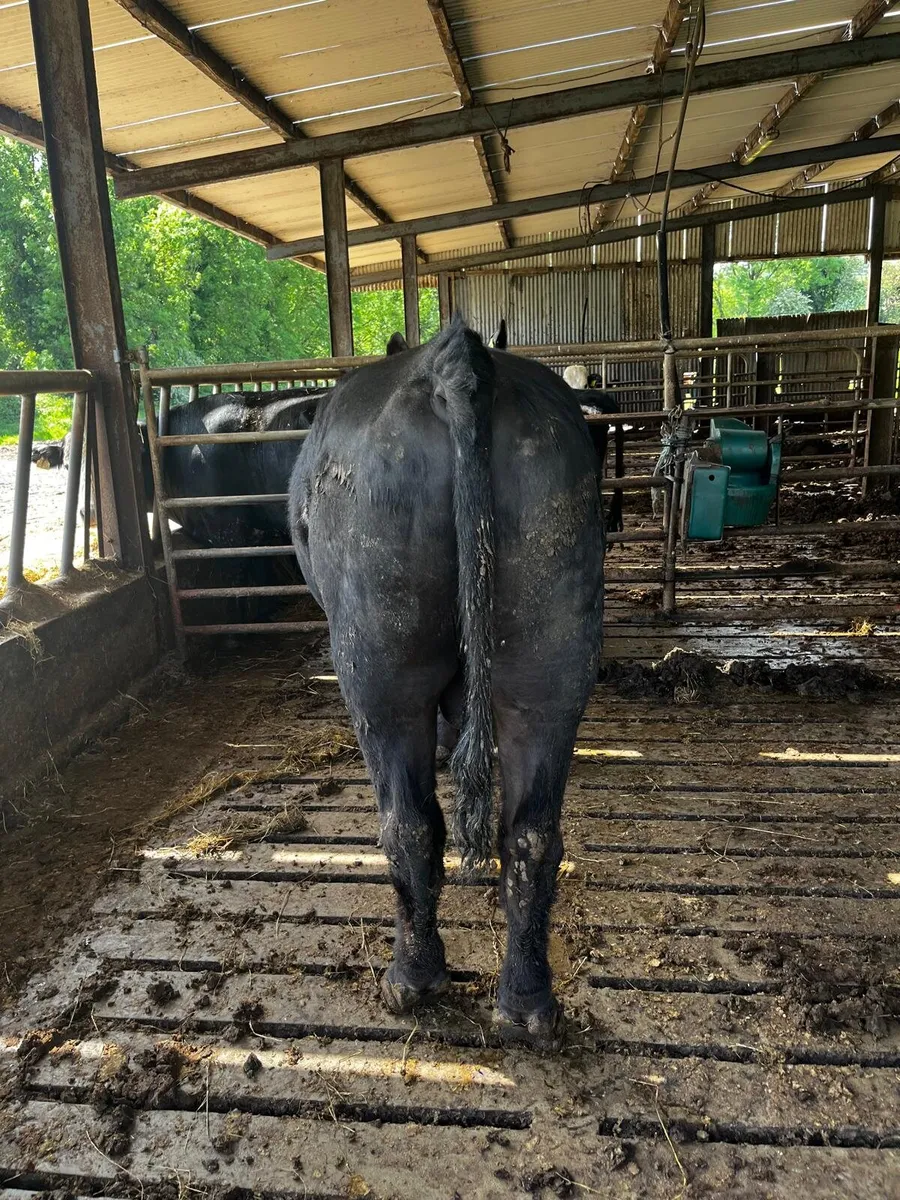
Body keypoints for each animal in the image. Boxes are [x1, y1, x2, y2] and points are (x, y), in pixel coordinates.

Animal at [289, 317, 605, 1047]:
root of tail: (456, 365)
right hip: (551, 653)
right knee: (532, 834)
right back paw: (526, 1001)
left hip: (378, 662)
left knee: (408, 823)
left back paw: (413, 977)